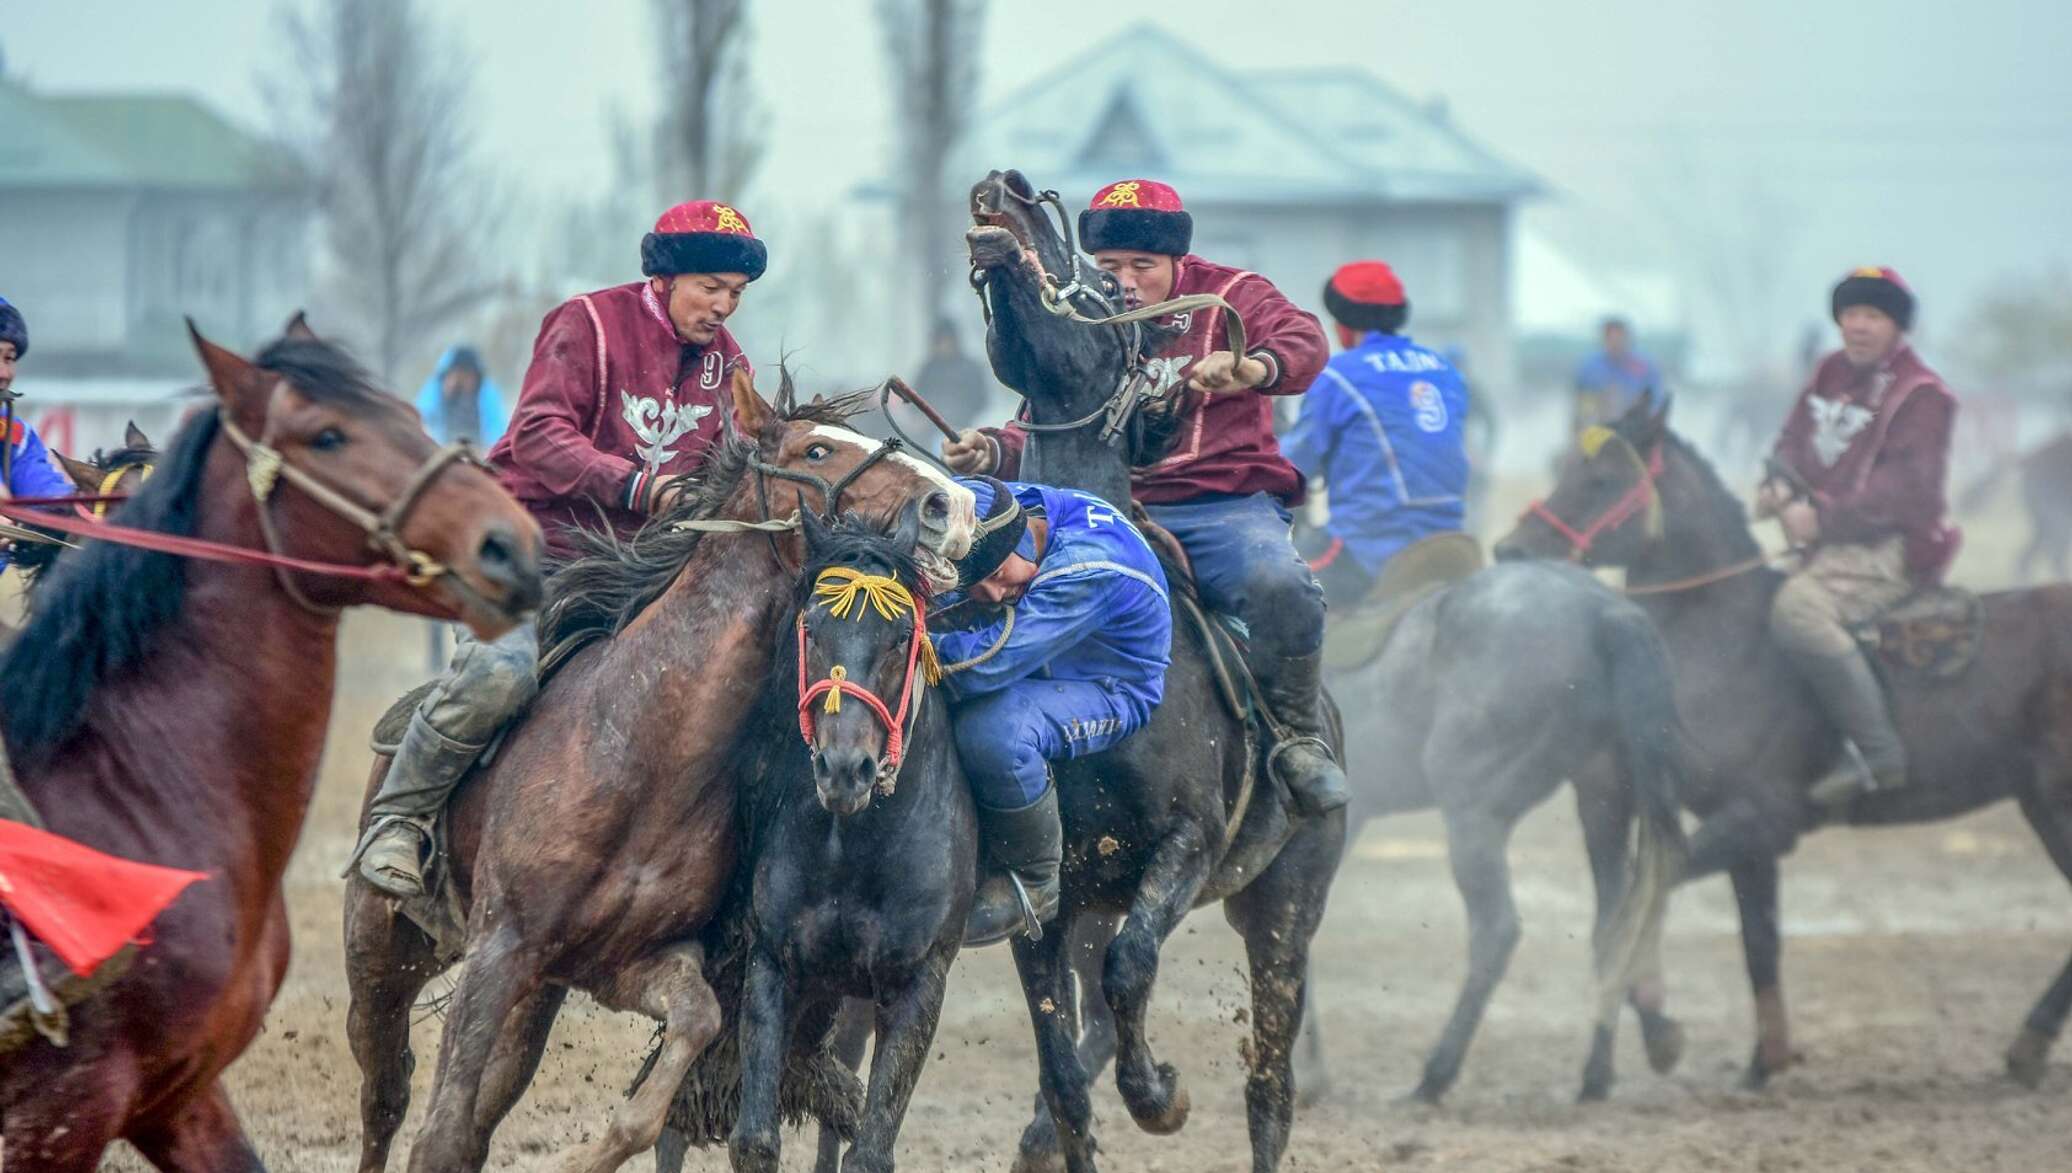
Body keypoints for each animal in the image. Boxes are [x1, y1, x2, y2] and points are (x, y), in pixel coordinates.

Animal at [716, 509, 973, 1173]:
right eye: (812, 626)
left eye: (901, 634)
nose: (844, 769)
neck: (852, 848)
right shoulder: (773, 962)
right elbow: (754, 1137)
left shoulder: (916, 985)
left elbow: (871, 1148)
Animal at [1500, 402, 2072, 1094]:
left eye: (1603, 479)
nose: (1512, 549)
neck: (1722, 637)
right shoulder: (1752, 842)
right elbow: (1757, 943)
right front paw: (1762, 1060)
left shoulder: (1756, 820)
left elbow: (1635, 904)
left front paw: (1661, 1034)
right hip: (2041, 805)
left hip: (2060, 807)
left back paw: (2029, 1044)